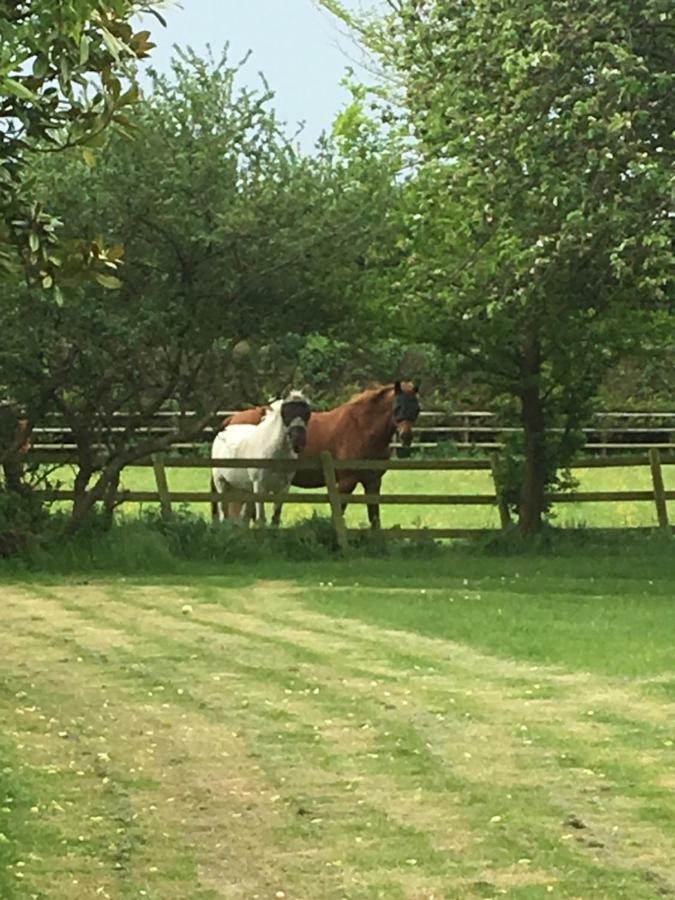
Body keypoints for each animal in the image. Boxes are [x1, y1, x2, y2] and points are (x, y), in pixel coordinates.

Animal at [214, 380, 420, 528]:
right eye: (398, 407)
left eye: (417, 408)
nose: (406, 436)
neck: (361, 428)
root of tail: (232, 419)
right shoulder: (346, 482)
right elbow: (339, 511)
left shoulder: (373, 481)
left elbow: (374, 516)